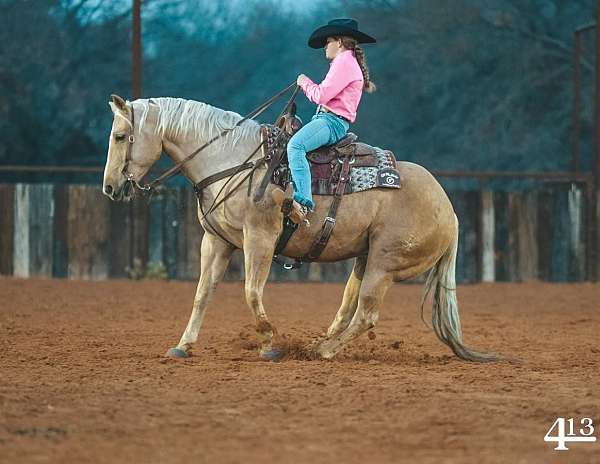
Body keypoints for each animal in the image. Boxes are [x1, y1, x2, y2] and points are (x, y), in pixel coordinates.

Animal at [103, 94, 496, 362]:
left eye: (121, 136)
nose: (109, 187)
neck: (232, 161)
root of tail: (450, 211)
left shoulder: (260, 238)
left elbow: (252, 292)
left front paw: (268, 343)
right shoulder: (216, 241)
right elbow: (202, 293)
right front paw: (183, 345)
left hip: (385, 265)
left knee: (366, 314)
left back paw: (324, 351)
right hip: (365, 258)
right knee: (348, 306)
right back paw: (318, 343)